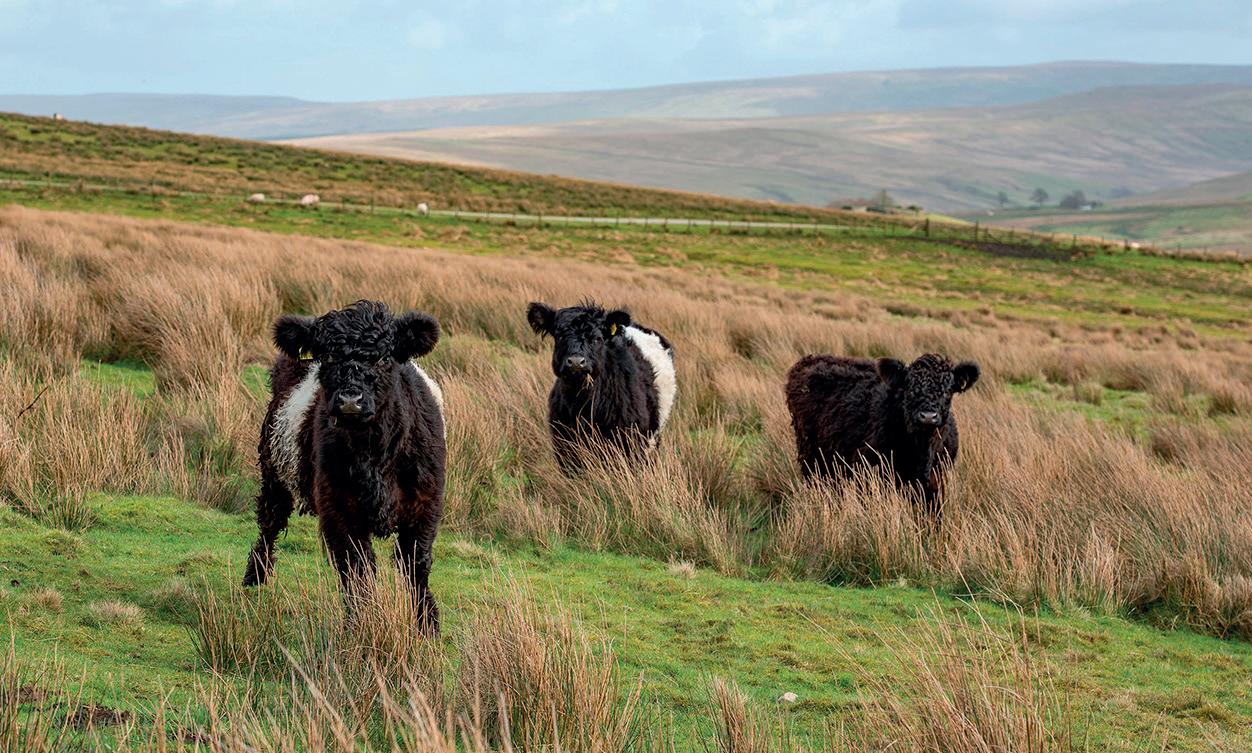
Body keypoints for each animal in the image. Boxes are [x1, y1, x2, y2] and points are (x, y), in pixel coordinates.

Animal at [242, 300, 446, 633]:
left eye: (384, 357)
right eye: (327, 356)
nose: (351, 400)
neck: (374, 453)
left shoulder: (425, 503)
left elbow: (416, 564)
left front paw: (427, 624)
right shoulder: (338, 505)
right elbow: (356, 567)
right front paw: (360, 624)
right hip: (273, 470)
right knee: (270, 520)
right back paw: (255, 577)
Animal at [784, 353, 979, 519]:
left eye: (947, 391)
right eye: (910, 389)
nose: (928, 416)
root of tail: (810, 359)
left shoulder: (936, 482)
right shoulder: (870, 474)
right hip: (811, 457)